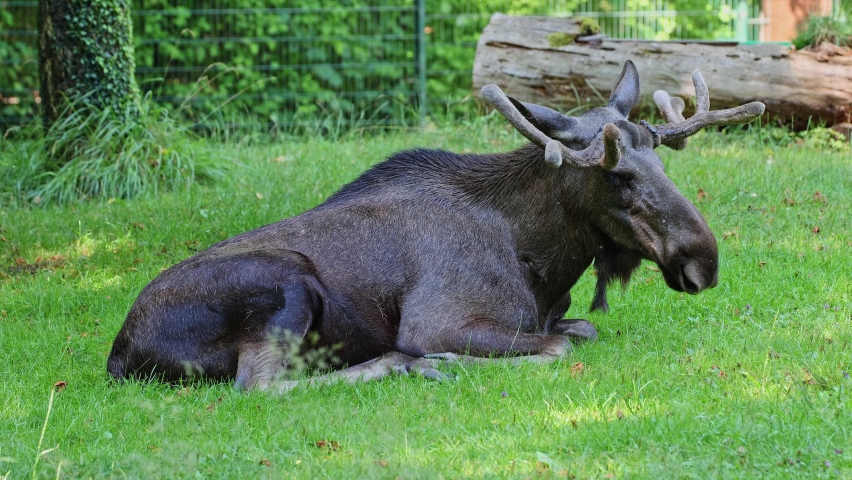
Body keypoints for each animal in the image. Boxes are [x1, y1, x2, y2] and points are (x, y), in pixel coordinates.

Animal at [106, 61, 764, 390]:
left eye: (659, 157)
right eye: (616, 176)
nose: (703, 260)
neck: (543, 258)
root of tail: (118, 355)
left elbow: (581, 330)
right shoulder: (439, 319)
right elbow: (554, 347)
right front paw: (434, 359)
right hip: (287, 285)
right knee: (261, 384)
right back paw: (400, 364)